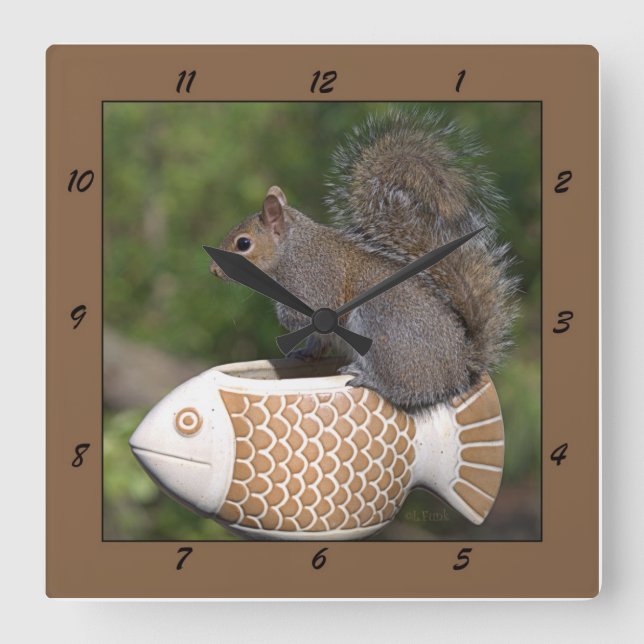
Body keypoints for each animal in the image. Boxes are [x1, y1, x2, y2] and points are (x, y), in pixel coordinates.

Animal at [210, 109, 518, 411]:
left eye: (244, 244)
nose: (214, 270)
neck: (292, 249)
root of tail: (459, 367)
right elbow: (317, 339)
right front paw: (305, 353)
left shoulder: (314, 281)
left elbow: (305, 315)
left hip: (384, 329)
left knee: (406, 388)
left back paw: (370, 379)